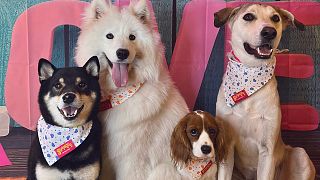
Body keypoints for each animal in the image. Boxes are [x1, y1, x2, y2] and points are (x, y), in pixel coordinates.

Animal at [75, 0, 190, 179]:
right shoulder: (106, 160)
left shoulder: (132, 160)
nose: (122, 53)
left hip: (163, 170)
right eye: (109, 36)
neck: (116, 95)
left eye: (132, 37)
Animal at [215, 4, 316, 180]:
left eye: (275, 18)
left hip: (300, 154)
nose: (269, 32)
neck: (250, 73)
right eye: (248, 17)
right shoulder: (226, 148)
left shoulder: (267, 151)